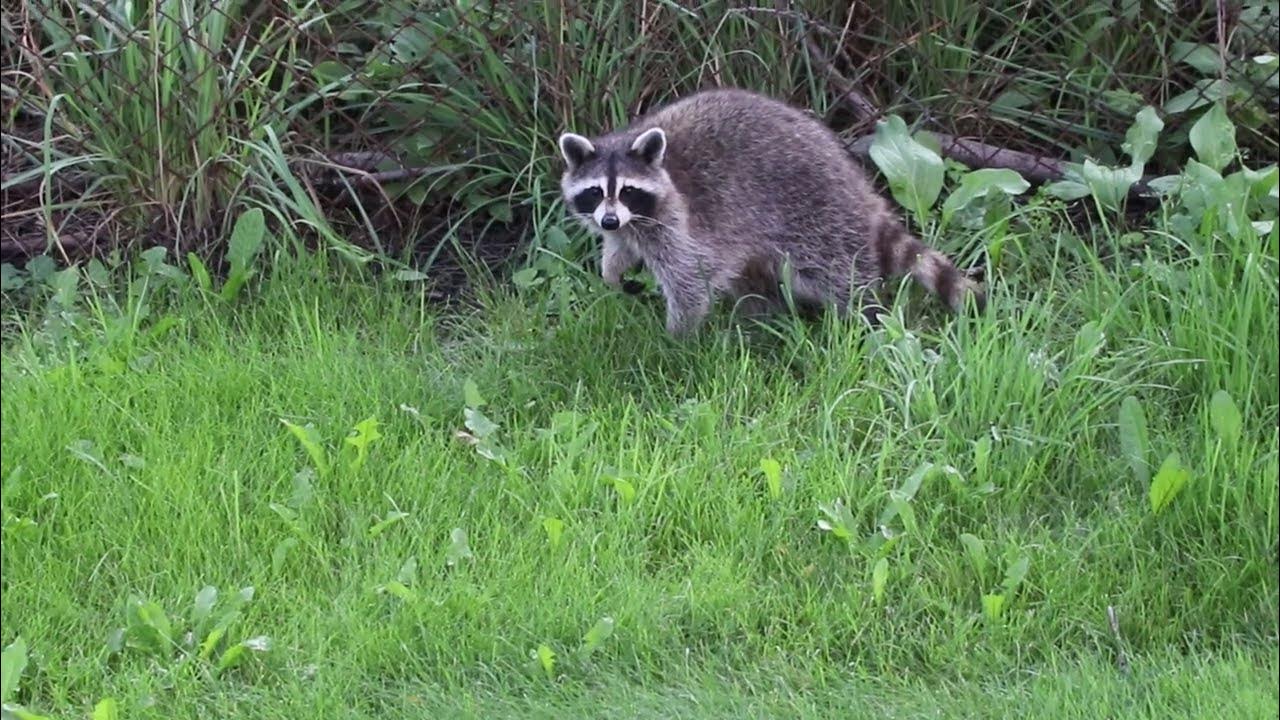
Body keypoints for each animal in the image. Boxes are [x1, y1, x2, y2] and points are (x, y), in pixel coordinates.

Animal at [556, 87, 984, 336]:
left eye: (628, 191)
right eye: (596, 193)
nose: (610, 219)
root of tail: (862, 191)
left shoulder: (678, 221)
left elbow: (693, 277)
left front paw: (677, 338)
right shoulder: (630, 227)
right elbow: (619, 251)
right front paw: (613, 273)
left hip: (817, 215)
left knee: (835, 274)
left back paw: (864, 315)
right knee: (755, 278)